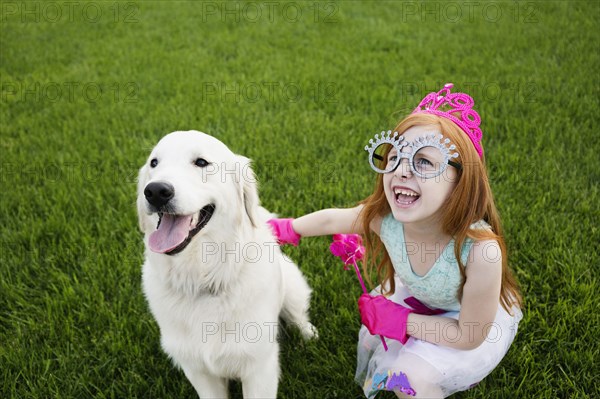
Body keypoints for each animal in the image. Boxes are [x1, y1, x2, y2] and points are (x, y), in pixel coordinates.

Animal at [138, 132, 316, 399]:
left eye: (201, 162)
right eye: (154, 163)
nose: (156, 191)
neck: (201, 279)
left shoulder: (259, 369)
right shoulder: (198, 371)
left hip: (293, 288)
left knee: (298, 316)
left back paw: (309, 335)